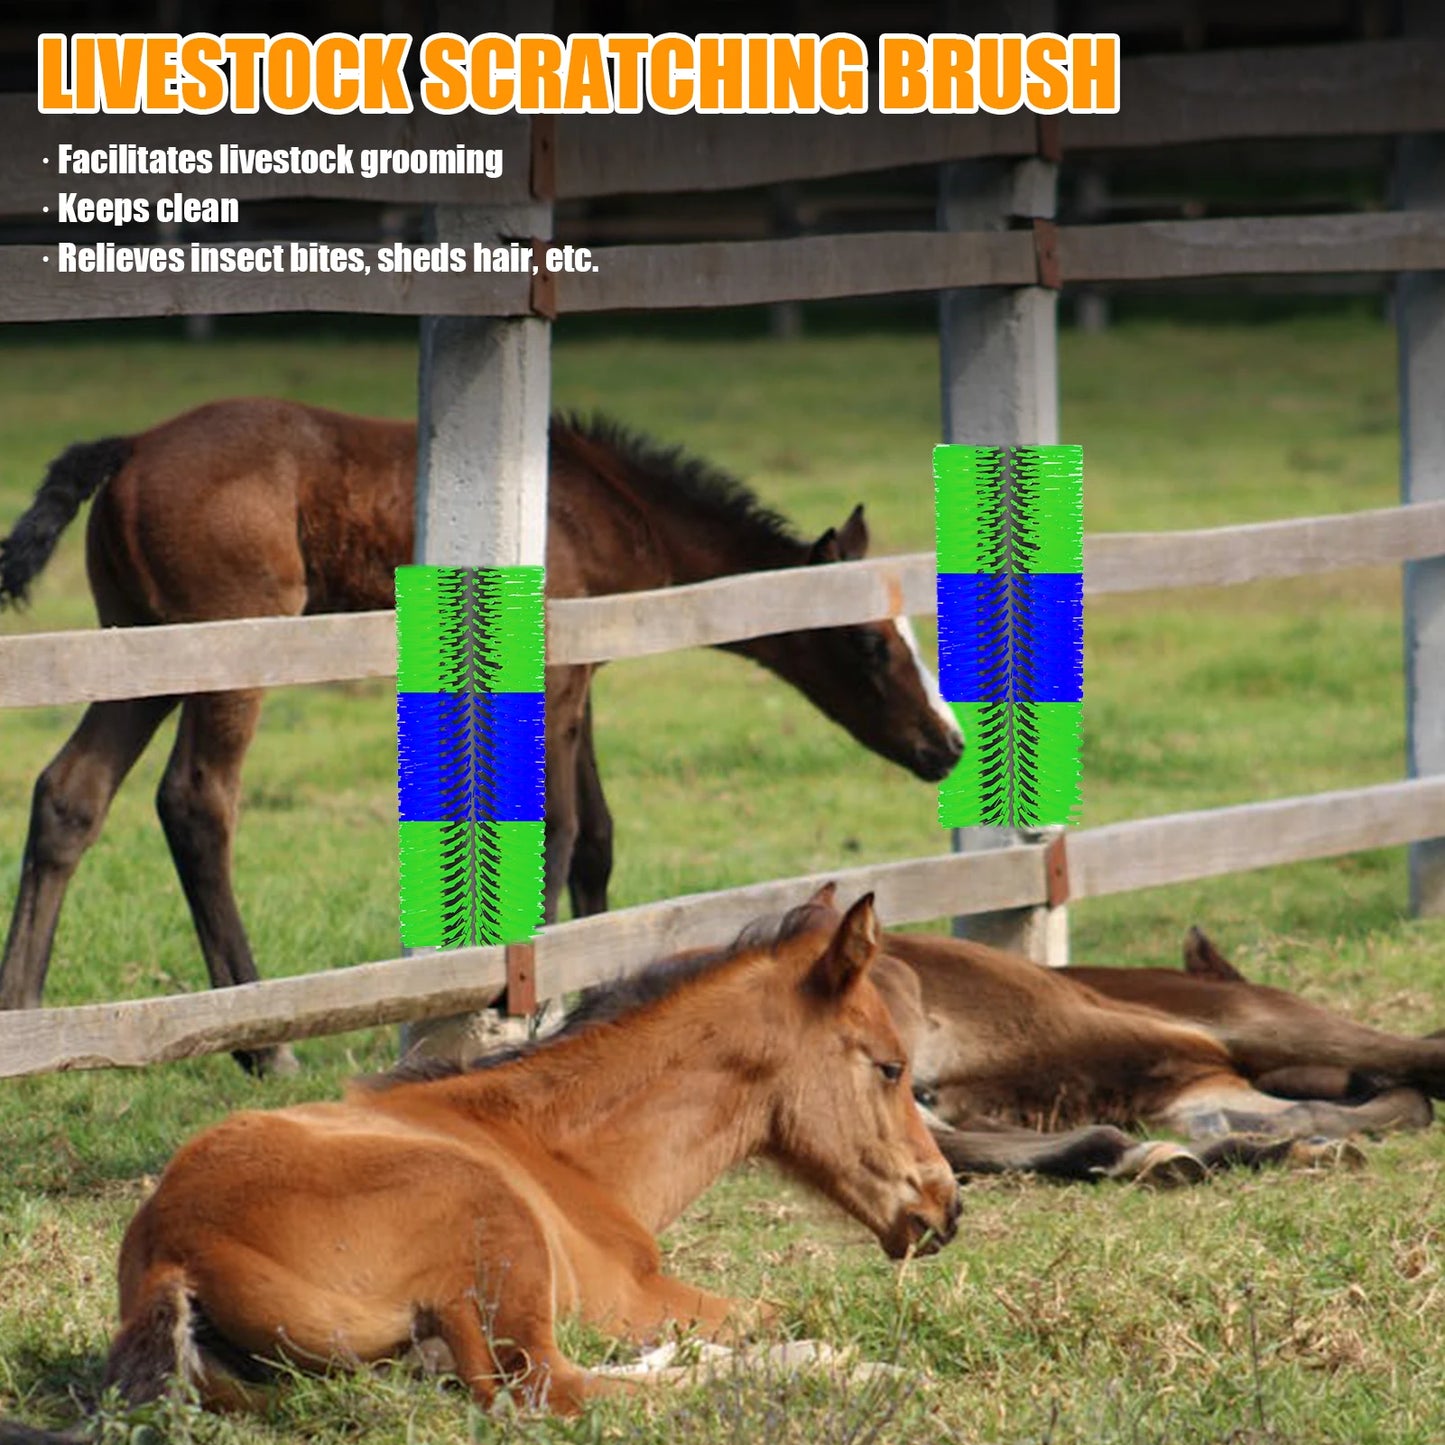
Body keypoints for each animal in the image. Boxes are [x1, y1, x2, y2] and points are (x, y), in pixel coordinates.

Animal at [0, 399, 963, 1072]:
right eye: (870, 645)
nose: (944, 746)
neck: (603, 505)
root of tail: (131, 445)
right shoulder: (556, 678)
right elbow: (561, 831)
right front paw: (531, 1002)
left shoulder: (581, 679)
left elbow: (596, 837)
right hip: (227, 651)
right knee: (196, 802)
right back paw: (262, 1040)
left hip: (138, 648)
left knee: (70, 791)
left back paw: (28, 1007)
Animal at [0, 893, 956, 1436]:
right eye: (888, 1066)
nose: (944, 1208)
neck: (559, 1151)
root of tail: (172, 1253)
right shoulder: (634, 1296)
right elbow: (773, 1309)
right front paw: (844, 1357)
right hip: (496, 1231)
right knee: (550, 1390)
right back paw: (840, 1373)